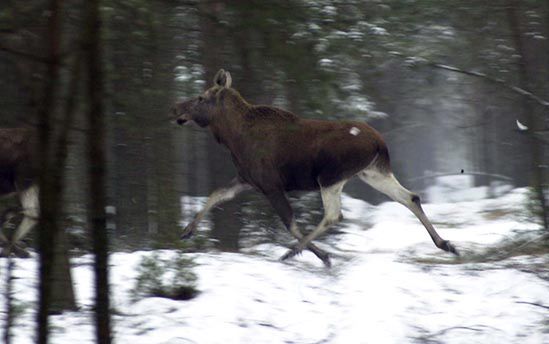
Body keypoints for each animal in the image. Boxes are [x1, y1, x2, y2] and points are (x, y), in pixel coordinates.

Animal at [172, 68, 458, 266]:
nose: (176, 108)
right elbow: (215, 195)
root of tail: (380, 143)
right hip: (373, 172)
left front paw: (320, 255)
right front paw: (187, 230)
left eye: (200, 97)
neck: (232, 138)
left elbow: (290, 223)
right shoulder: (246, 179)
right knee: (410, 196)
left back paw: (293, 252)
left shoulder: (270, 184)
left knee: (334, 215)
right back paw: (445, 243)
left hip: (331, 176)